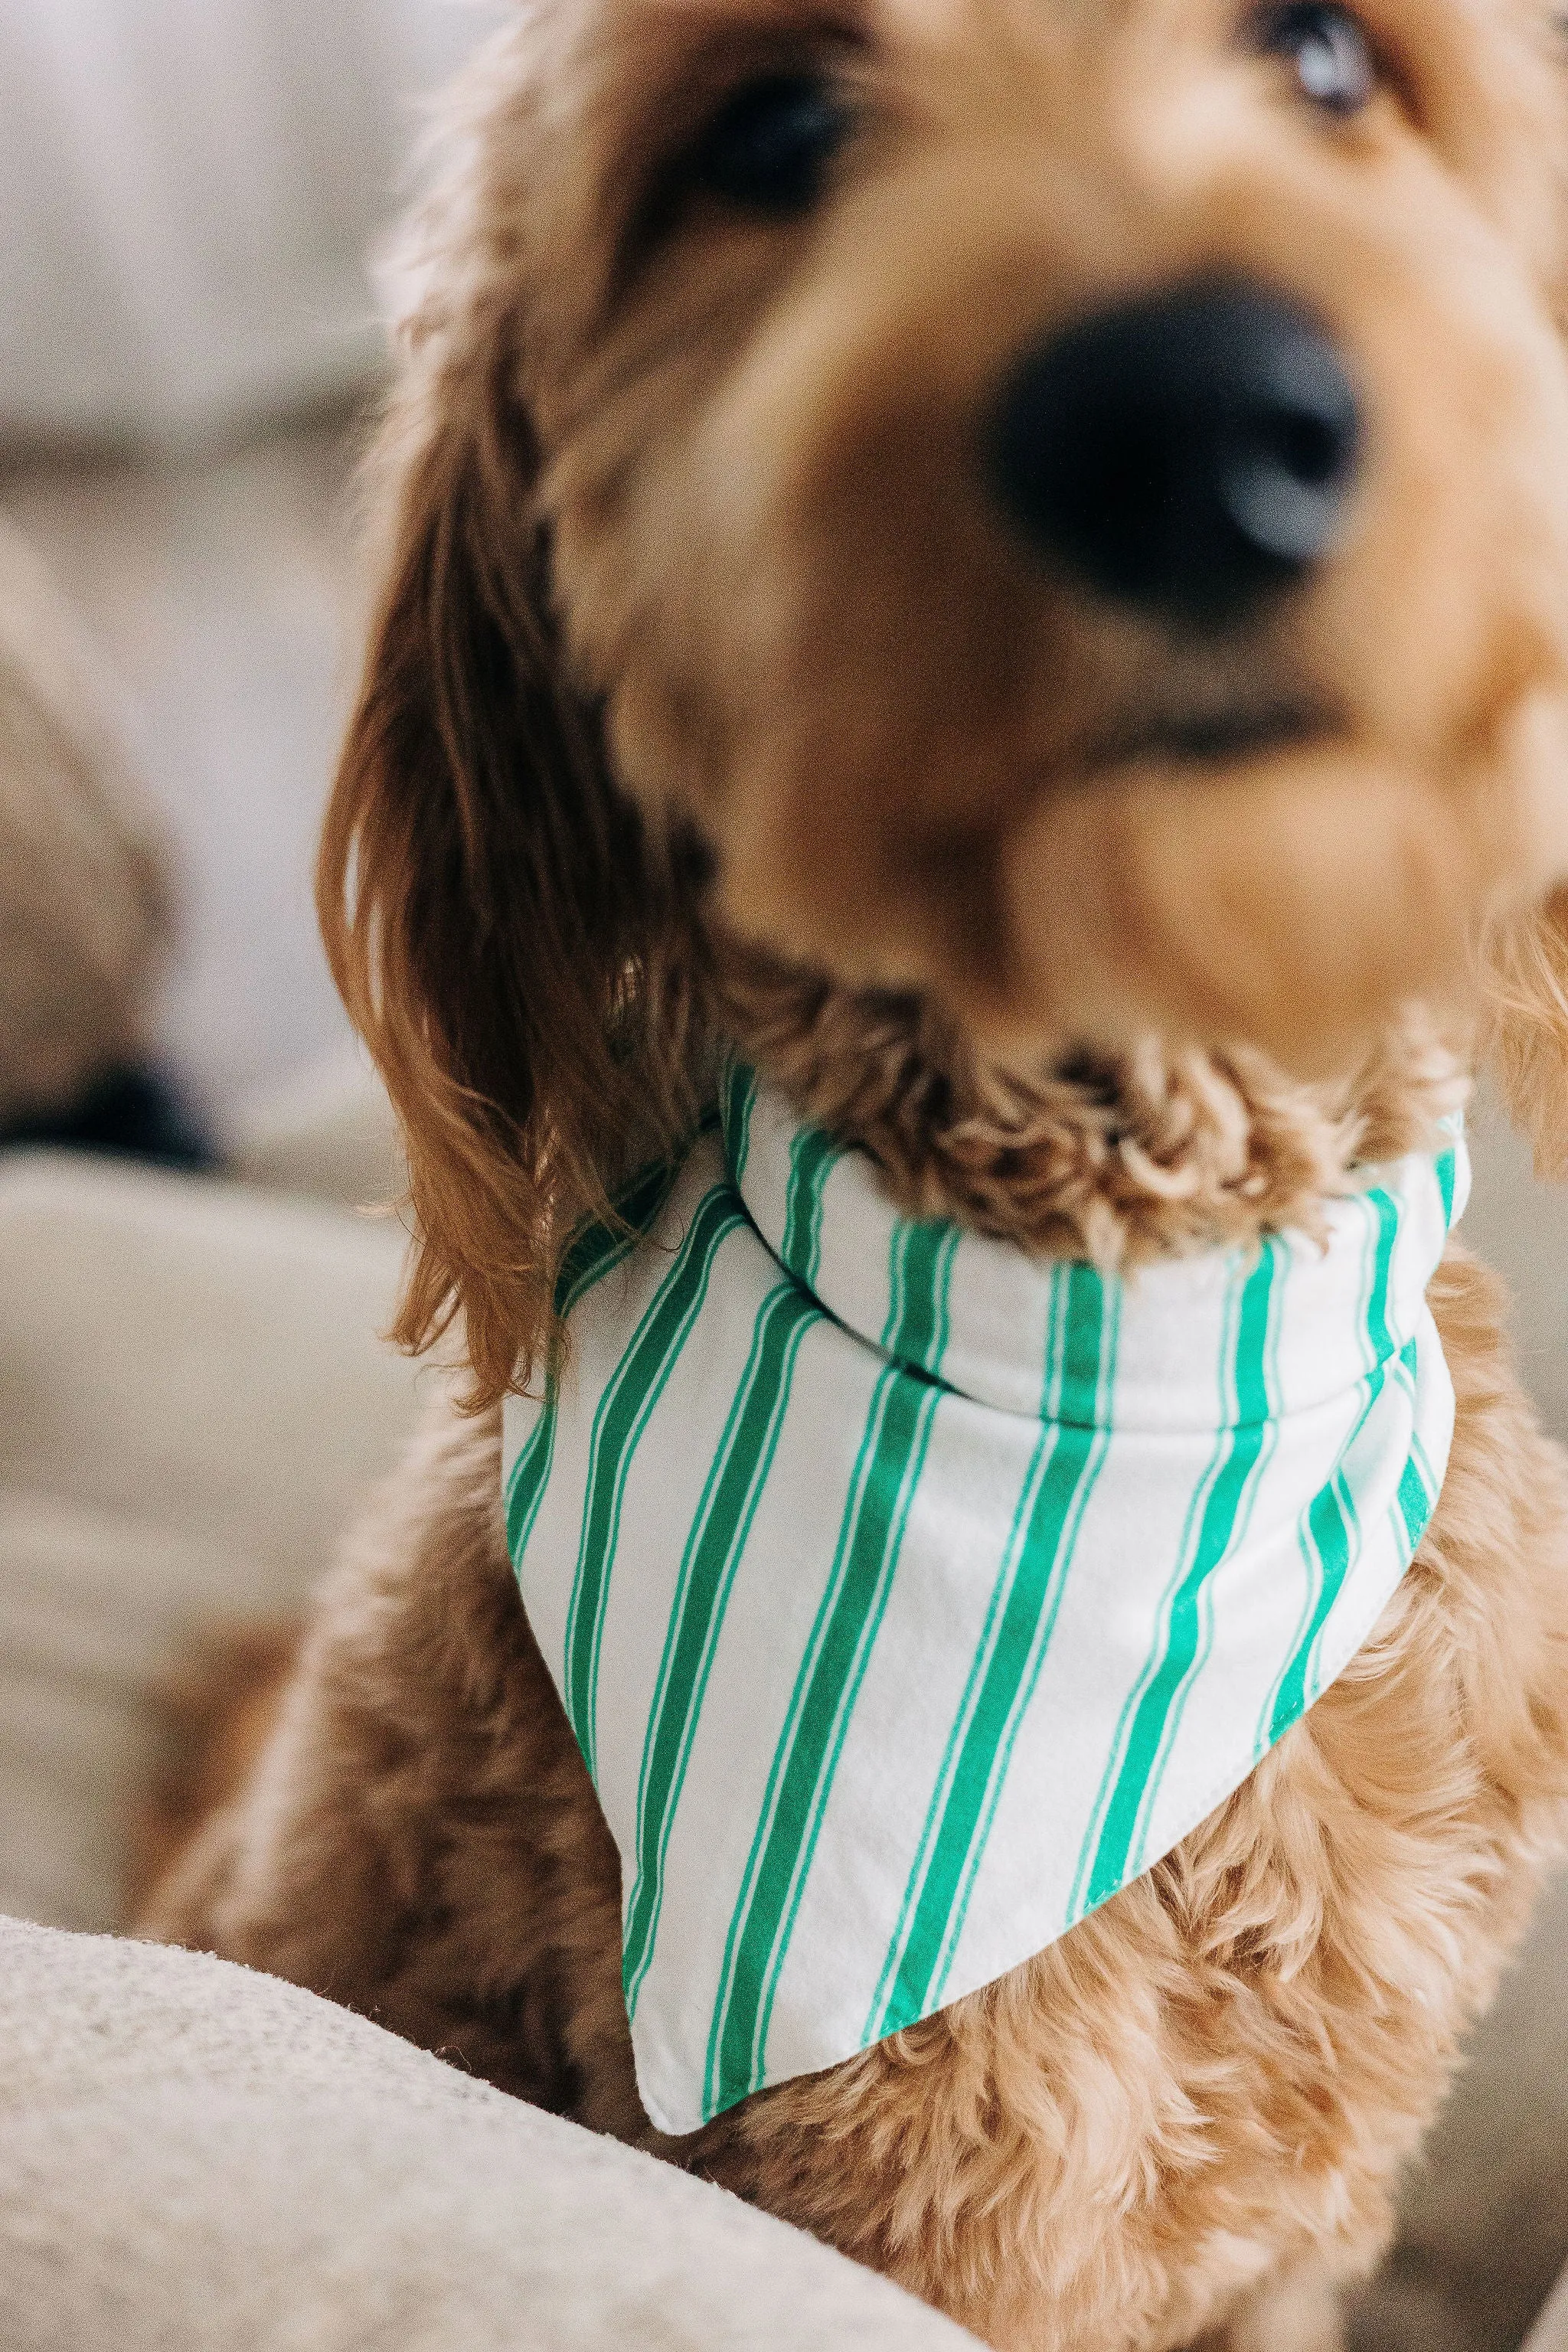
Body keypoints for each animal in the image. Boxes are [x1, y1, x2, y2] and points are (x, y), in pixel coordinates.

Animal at [138, 0, 1568, 2342]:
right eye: (774, 132)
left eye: (1326, 58)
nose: (1192, 415)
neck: (1121, 1341)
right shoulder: (945, 2231)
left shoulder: (1303, 2231)